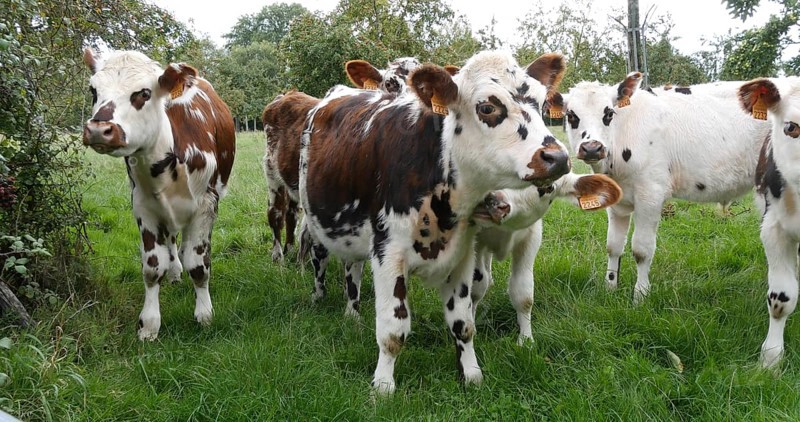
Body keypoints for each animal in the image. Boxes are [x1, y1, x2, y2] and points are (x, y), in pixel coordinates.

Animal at [82, 48, 236, 340]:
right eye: (93, 90)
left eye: (143, 93)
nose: (98, 130)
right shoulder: (144, 207)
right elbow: (153, 267)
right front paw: (149, 325)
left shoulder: (206, 205)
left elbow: (199, 264)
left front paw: (204, 315)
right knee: (173, 241)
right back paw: (175, 272)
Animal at [264, 58, 422, 264]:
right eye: (390, 84)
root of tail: (287, 94)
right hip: (271, 170)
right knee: (275, 214)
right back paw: (278, 256)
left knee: (291, 214)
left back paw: (290, 250)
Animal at [298, 50, 571, 394]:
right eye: (487, 107)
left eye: (542, 103)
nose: (557, 158)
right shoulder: (388, 252)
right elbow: (392, 330)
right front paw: (383, 385)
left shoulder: (464, 252)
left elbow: (463, 323)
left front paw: (471, 373)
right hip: (316, 223)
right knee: (321, 260)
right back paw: (322, 298)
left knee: (352, 267)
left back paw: (352, 313)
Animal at [562, 72, 769, 302]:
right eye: (571, 116)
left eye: (608, 113)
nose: (592, 148)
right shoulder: (617, 202)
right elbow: (613, 246)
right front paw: (610, 288)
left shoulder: (650, 193)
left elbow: (641, 250)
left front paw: (640, 295)